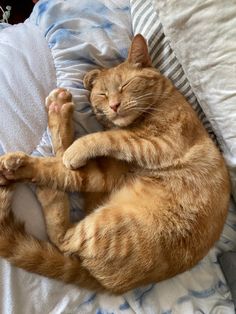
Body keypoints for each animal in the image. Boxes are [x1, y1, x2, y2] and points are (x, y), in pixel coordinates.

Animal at [0, 33, 230, 294]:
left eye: (125, 86)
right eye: (103, 94)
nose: (114, 105)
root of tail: (108, 284)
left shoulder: (162, 145)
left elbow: (105, 139)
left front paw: (77, 149)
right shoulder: (112, 169)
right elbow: (71, 158)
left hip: (106, 218)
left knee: (62, 233)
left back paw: (41, 181)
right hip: (101, 190)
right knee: (63, 178)